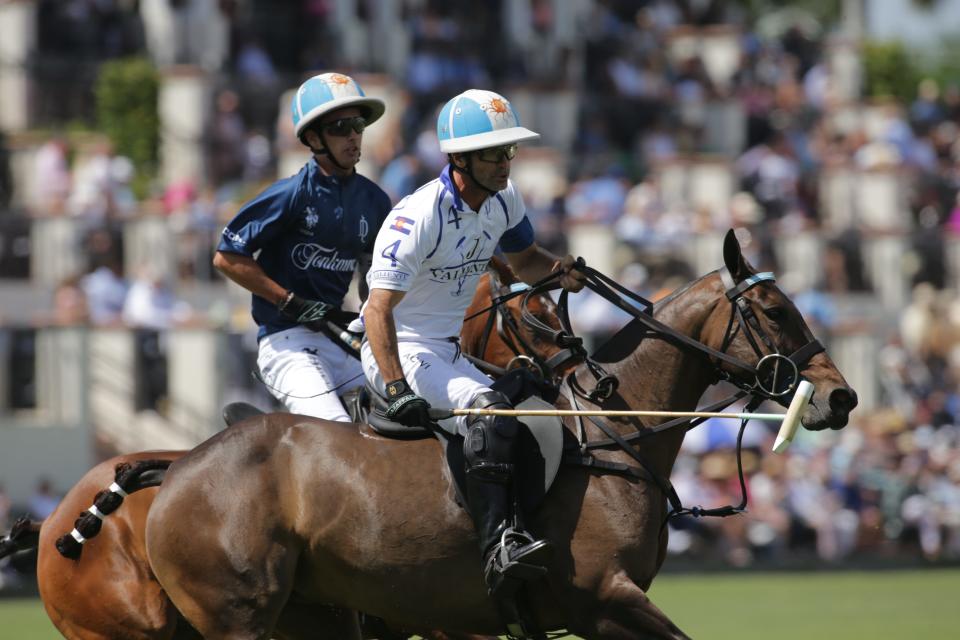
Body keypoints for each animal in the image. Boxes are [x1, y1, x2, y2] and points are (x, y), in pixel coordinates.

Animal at [141, 231, 856, 640]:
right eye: (774, 311)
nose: (841, 397)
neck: (611, 431)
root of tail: (175, 472)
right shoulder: (602, 599)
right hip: (239, 615)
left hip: (314, 617)